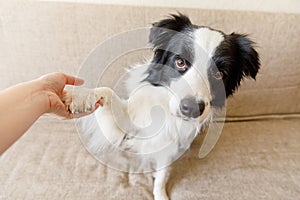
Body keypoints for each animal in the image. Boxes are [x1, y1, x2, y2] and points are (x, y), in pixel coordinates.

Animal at [63, 13, 260, 199]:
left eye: (220, 74)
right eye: (180, 62)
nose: (191, 108)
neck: (166, 112)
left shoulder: (170, 147)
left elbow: (162, 175)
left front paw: (160, 194)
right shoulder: (125, 126)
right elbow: (107, 92)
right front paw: (78, 96)